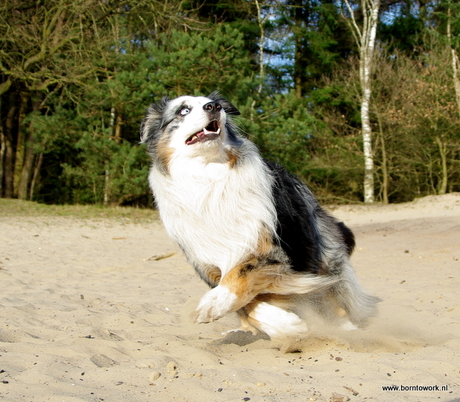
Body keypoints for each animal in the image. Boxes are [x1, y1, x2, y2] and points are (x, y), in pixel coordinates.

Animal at [142, 92, 380, 344]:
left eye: (210, 103)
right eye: (183, 111)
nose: (214, 106)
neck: (208, 176)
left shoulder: (272, 250)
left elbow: (241, 273)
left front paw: (213, 303)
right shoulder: (209, 265)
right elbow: (249, 304)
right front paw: (288, 326)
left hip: (321, 251)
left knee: (335, 293)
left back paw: (348, 329)